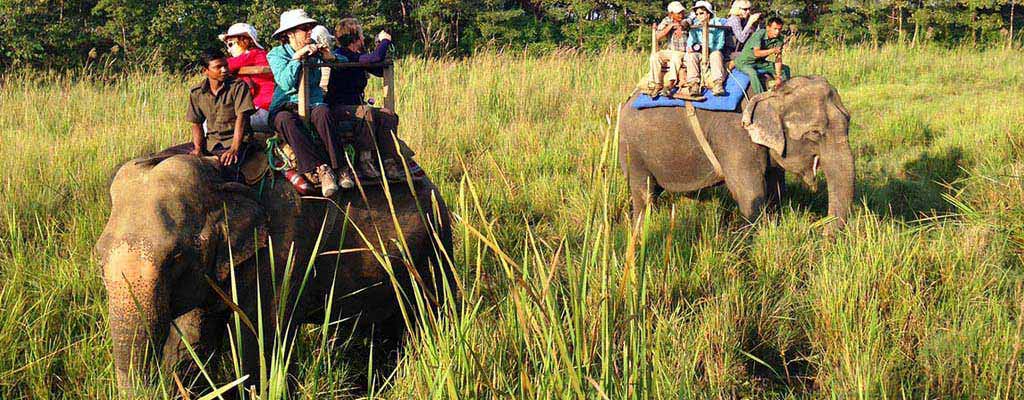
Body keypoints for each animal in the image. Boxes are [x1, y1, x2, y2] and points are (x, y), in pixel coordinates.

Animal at [94, 154, 454, 396]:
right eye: (99, 256)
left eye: (175, 257)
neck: (223, 178)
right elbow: (193, 339)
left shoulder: (283, 248)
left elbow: (262, 339)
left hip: (436, 247)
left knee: (431, 313)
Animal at [614, 76, 856, 232]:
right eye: (815, 133)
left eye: (848, 121)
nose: (819, 229)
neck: (772, 92)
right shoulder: (734, 136)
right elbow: (749, 191)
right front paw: (754, 239)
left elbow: (776, 187)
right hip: (632, 151)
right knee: (644, 193)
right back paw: (640, 231)